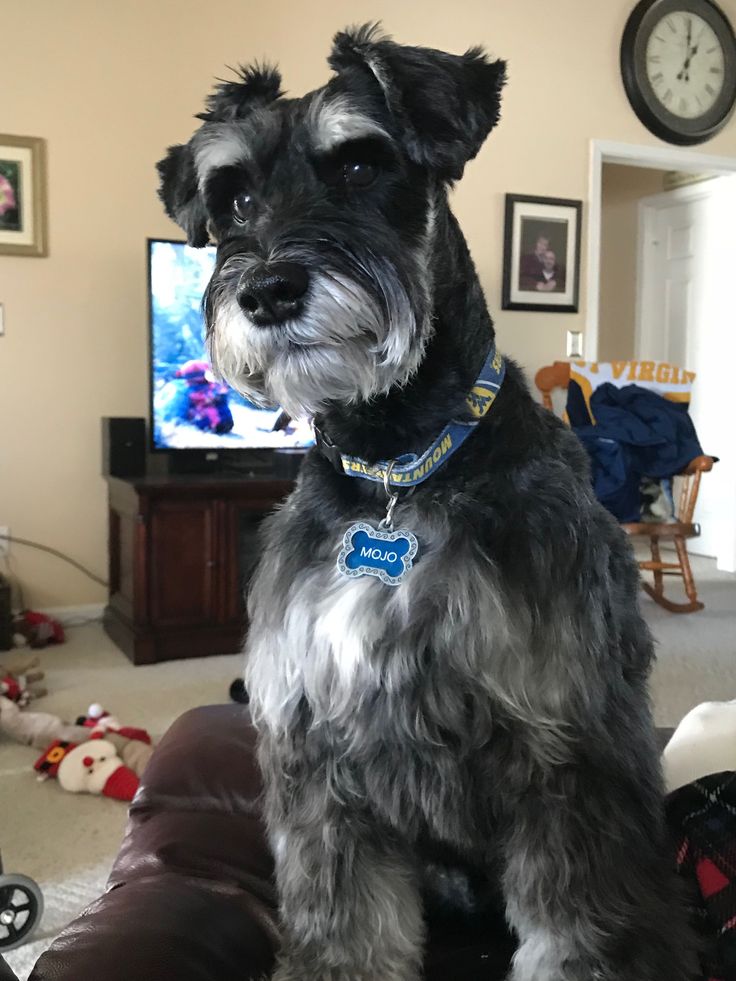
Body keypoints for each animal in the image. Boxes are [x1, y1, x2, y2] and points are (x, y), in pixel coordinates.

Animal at [157, 23, 696, 980]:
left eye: (359, 165)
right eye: (234, 197)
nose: (266, 291)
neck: (397, 468)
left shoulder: (567, 744)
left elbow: (581, 925)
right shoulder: (315, 748)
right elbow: (344, 917)